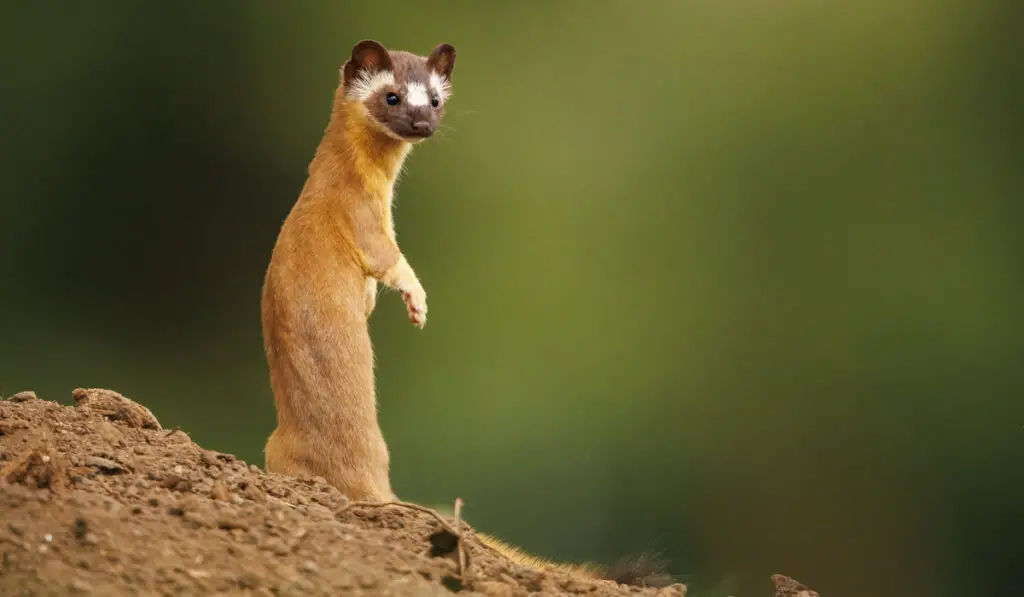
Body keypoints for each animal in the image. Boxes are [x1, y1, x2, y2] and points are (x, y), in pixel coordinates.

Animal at [260, 40, 671, 589]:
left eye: (434, 99)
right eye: (392, 96)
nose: (422, 124)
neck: (377, 191)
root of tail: (373, 481)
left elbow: (374, 284)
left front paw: (379, 304)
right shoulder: (363, 222)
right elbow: (391, 262)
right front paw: (417, 302)